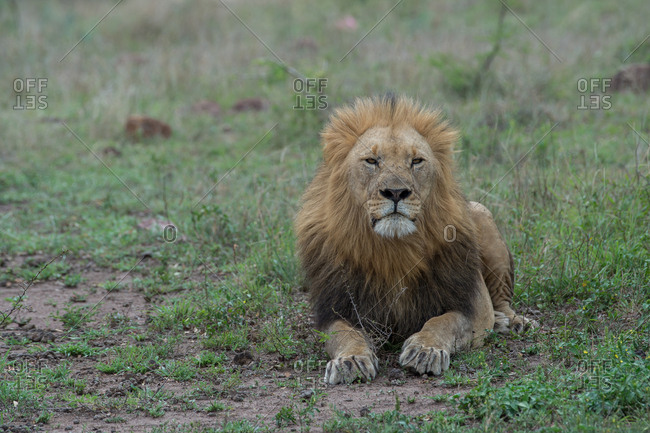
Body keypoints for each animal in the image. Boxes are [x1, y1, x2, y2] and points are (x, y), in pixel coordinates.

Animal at [295, 95, 534, 385]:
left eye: (417, 161)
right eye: (372, 160)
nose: (396, 192)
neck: (395, 249)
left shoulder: (471, 304)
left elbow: (443, 322)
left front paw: (425, 350)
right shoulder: (335, 308)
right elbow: (345, 334)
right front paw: (350, 360)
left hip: (482, 215)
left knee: (502, 300)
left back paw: (511, 322)